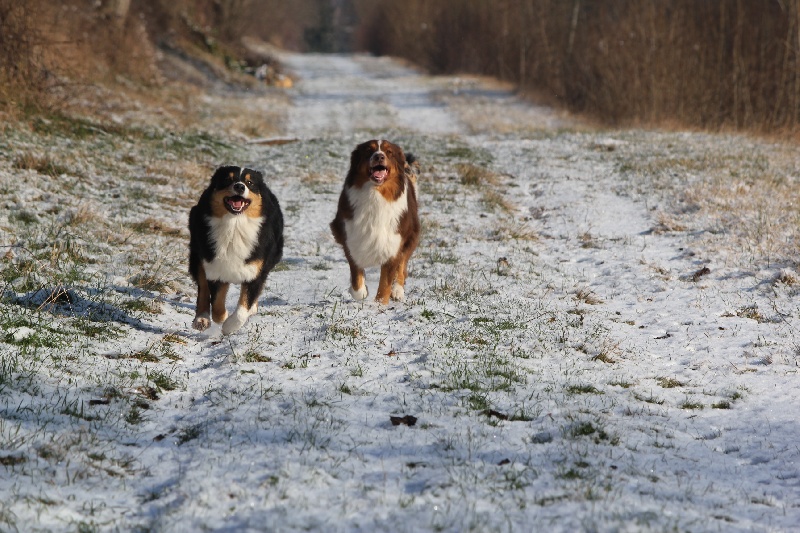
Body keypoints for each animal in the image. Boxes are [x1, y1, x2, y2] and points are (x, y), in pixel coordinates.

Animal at [188, 164, 284, 334]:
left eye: (250, 182)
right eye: (228, 179)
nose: (239, 186)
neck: (234, 225)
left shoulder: (255, 272)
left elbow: (243, 308)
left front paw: (229, 327)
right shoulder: (216, 267)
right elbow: (217, 305)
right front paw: (222, 319)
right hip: (198, 252)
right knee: (203, 288)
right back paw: (201, 319)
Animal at [330, 139, 422, 304]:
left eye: (389, 152)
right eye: (368, 150)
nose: (379, 156)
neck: (376, 194)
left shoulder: (393, 243)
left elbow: (385, 283)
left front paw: (379, 305)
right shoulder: (350, 236)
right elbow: (356, 274)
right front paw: (361, 292)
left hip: (410, 235)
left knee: (402, 266)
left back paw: (397, 291)